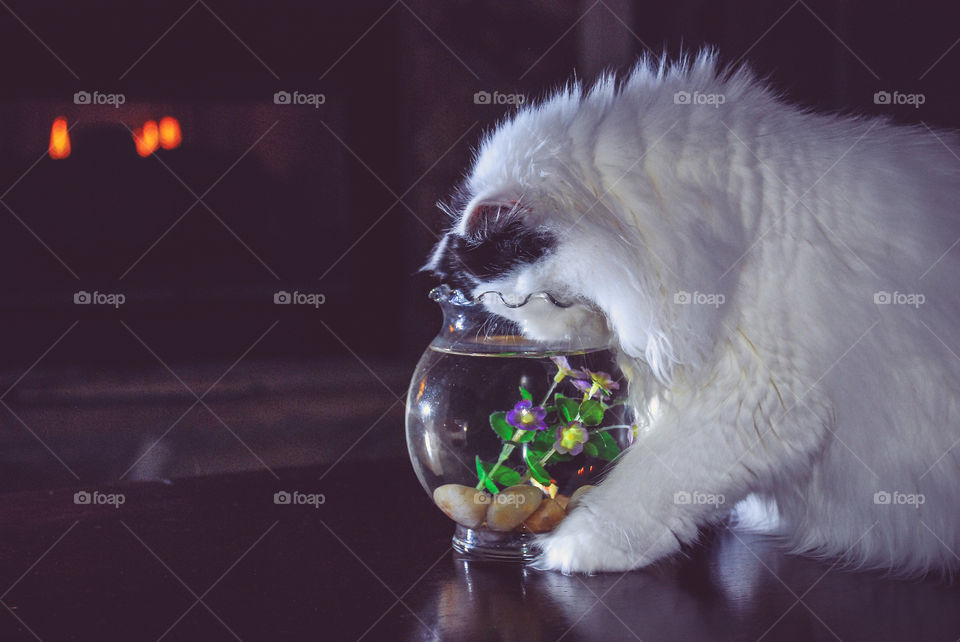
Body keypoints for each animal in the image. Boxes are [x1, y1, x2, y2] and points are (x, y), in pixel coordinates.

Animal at [426, 48, 960, 568]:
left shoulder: (760, 397)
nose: (541, 341)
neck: (730, 228)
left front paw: (571, 548)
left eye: (539, 301)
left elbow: (646, 484)